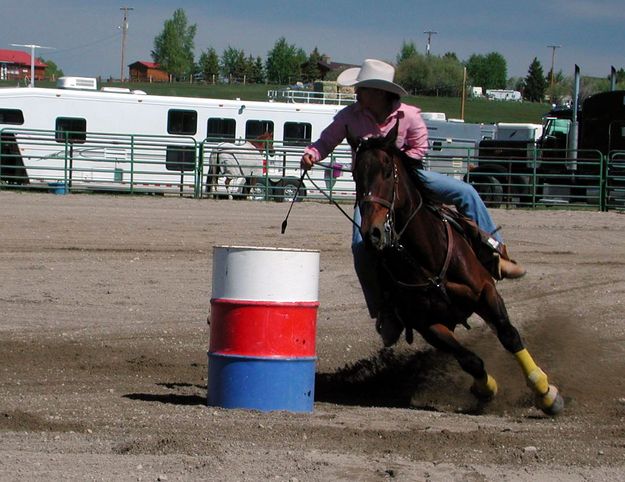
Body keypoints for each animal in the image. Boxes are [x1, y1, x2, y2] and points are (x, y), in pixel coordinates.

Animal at [348, 123, 564, 414]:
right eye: (355, 174)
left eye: (386, 170)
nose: (372, 232)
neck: (427, 258)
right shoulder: (428, 325)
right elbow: (469, 359)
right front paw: (485, 389)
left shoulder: (486, 292)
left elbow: (509, 335)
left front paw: (545, 392)